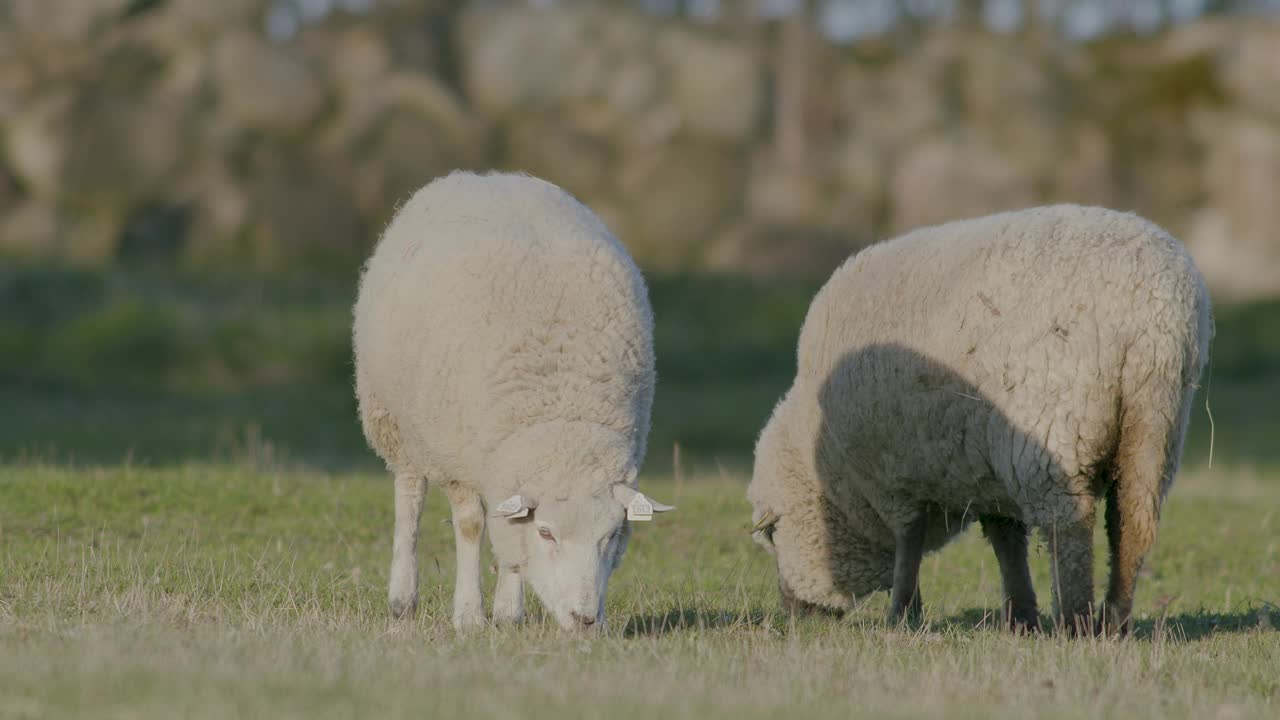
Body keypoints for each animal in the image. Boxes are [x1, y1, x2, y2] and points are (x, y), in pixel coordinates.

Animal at [350, 167, 670, 627]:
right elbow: (470, 525)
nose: (585, 619)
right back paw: (402, 598)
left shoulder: (507, 467)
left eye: (611, 535)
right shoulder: (458, 458)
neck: (561, 408)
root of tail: (486, 177)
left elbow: (509, 541)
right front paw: (470, 615)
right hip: (398, 422)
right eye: (546, 532)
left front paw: (507, 614)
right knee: (409, 499)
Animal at [747, 204, 1218, 630]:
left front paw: (903, 614)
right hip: (1153, 429)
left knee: (1069, 527)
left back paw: (1075, 619)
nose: (794, 615)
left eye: (774, 538)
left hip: (1053, 428)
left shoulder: (894, 475)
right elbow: (1006, 540)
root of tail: (1150, 321)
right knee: (1130, 523)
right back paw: (1114, 620)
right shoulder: (985, 467)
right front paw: (1021, 616)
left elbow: (908, 544)